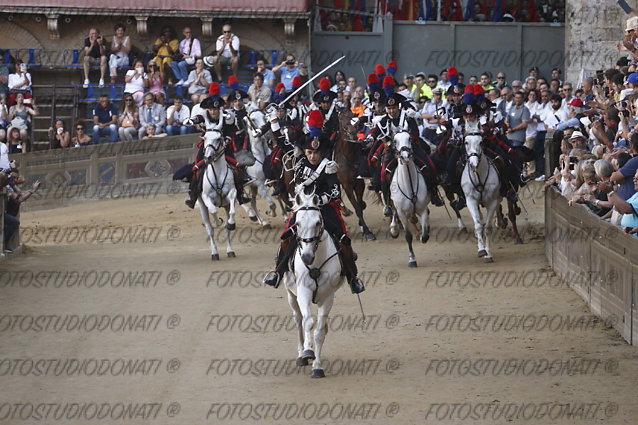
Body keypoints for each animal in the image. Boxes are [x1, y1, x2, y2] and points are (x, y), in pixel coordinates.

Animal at [200, 127, 238, 260]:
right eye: (205, 138)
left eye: (218, 139)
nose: (208, 157)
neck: (217, 173)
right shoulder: (205, 197)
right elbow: (213, 210)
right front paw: (218, 221)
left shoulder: (232, 192)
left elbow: (232, 212)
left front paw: (231, 223)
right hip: (202, 207)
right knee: (210, 230)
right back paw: (214, 253)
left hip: (225, 206)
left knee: (227, 229)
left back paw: (230, 250)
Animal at [284, 190, 344, 376]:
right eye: (297, 223)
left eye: (318, 222)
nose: (306, 257)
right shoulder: (303, 292)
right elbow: (308, 322)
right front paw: (308, 352)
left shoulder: (328, 297)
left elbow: (319, 331)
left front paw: (317, 366)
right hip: (291, 295)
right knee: (299, 321)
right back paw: (301, 354)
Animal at [388, 131, 432, 266]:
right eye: (395, 141)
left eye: (409, 139)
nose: (405, 156)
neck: (409, 185)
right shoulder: (401, 212)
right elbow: (408, 236)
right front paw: (412, 259)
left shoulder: (422, 209)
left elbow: (425, 235)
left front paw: (423, 235)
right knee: (393, 210)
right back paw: (394, 229)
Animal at [462, 120, 502, 262]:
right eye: (466, 142)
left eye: (480, 142)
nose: (473, 164)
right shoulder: (471, 200)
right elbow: (478, 225)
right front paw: (481, 250)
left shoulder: (492, 201)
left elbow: (488, 228)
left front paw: (488, 254)